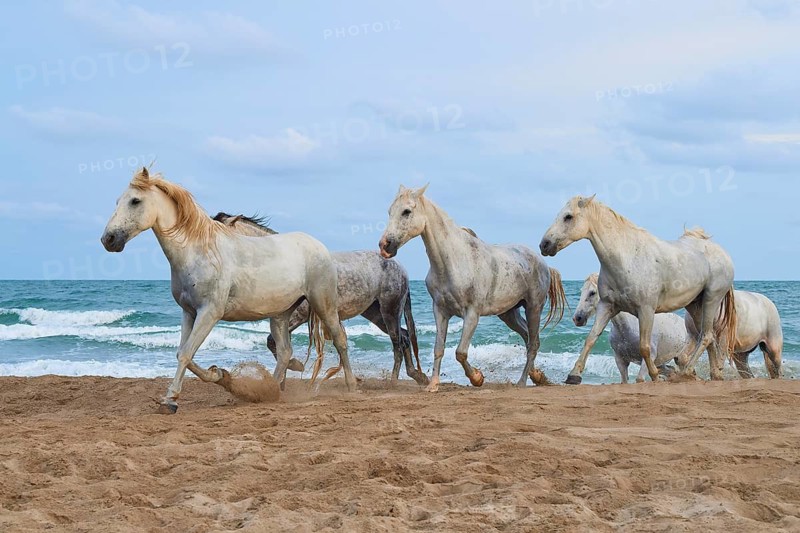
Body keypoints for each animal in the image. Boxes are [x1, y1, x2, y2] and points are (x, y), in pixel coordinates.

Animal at [100, 168, 355, 413]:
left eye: (135, 201)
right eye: (117, 201)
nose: (108, 239)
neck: (198, 252)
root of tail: (318, 245)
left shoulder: (209, 313)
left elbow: (186, 353)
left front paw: (170, 400)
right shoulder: (189, 312)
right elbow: (183, 352)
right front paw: (218, 375)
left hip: (323, 304)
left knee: (339, 340)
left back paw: (351, 386)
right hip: (280, 314)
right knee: (284, 351)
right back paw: (268, 392)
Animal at [212, 212, 429, 387]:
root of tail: (400, 267)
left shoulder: (297, 316)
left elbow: (272, 342)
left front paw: (296, 367)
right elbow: (276, 344)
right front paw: (283, 382)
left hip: (389, 310)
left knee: (398, 341)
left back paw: (394, 381)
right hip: (375, 313)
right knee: (404, 336)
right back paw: (417, 376)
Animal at [379, 185, 567, 392]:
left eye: (406, 211)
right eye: (389, 211)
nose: (385, 246)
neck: (454, 262)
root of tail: (544, 264)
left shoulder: (471, 314)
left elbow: (460, 352)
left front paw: (477, 378)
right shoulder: (440, 311)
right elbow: (439, 348)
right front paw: (433, 384)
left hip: (533, 307)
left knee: (533, 343)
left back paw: (522, 382)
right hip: (509, 313)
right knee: (528, 338)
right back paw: (538, 375)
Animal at [540, 195, 737, 384]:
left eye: (568, 216)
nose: (544, 245)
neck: (626, 258)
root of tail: (722, 252)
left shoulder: (646, 310)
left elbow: (644, 347)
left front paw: (655, 376)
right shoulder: (607, 306)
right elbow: (591, 338)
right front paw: (573, 375)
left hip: (711, 299)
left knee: (706, 336)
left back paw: (685, 373)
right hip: (694, 304)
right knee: (709, 336)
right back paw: (715, 374)